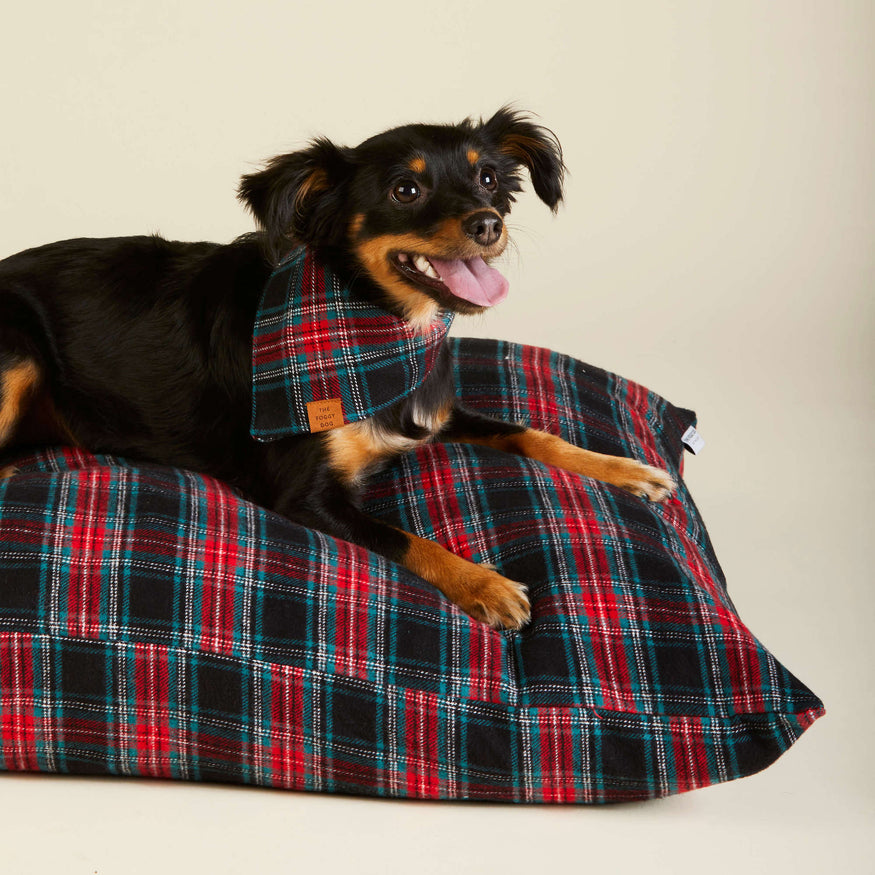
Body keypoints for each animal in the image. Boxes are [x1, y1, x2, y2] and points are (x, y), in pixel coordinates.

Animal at [0, 108, 674, 630]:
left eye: (487, 177)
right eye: (406, 191)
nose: (490, 223)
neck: (381, 330)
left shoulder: (434, 414)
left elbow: (529, 432)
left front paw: (625, 469)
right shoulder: (304, 495)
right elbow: (405, 537)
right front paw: (485, 584)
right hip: (18, 348)